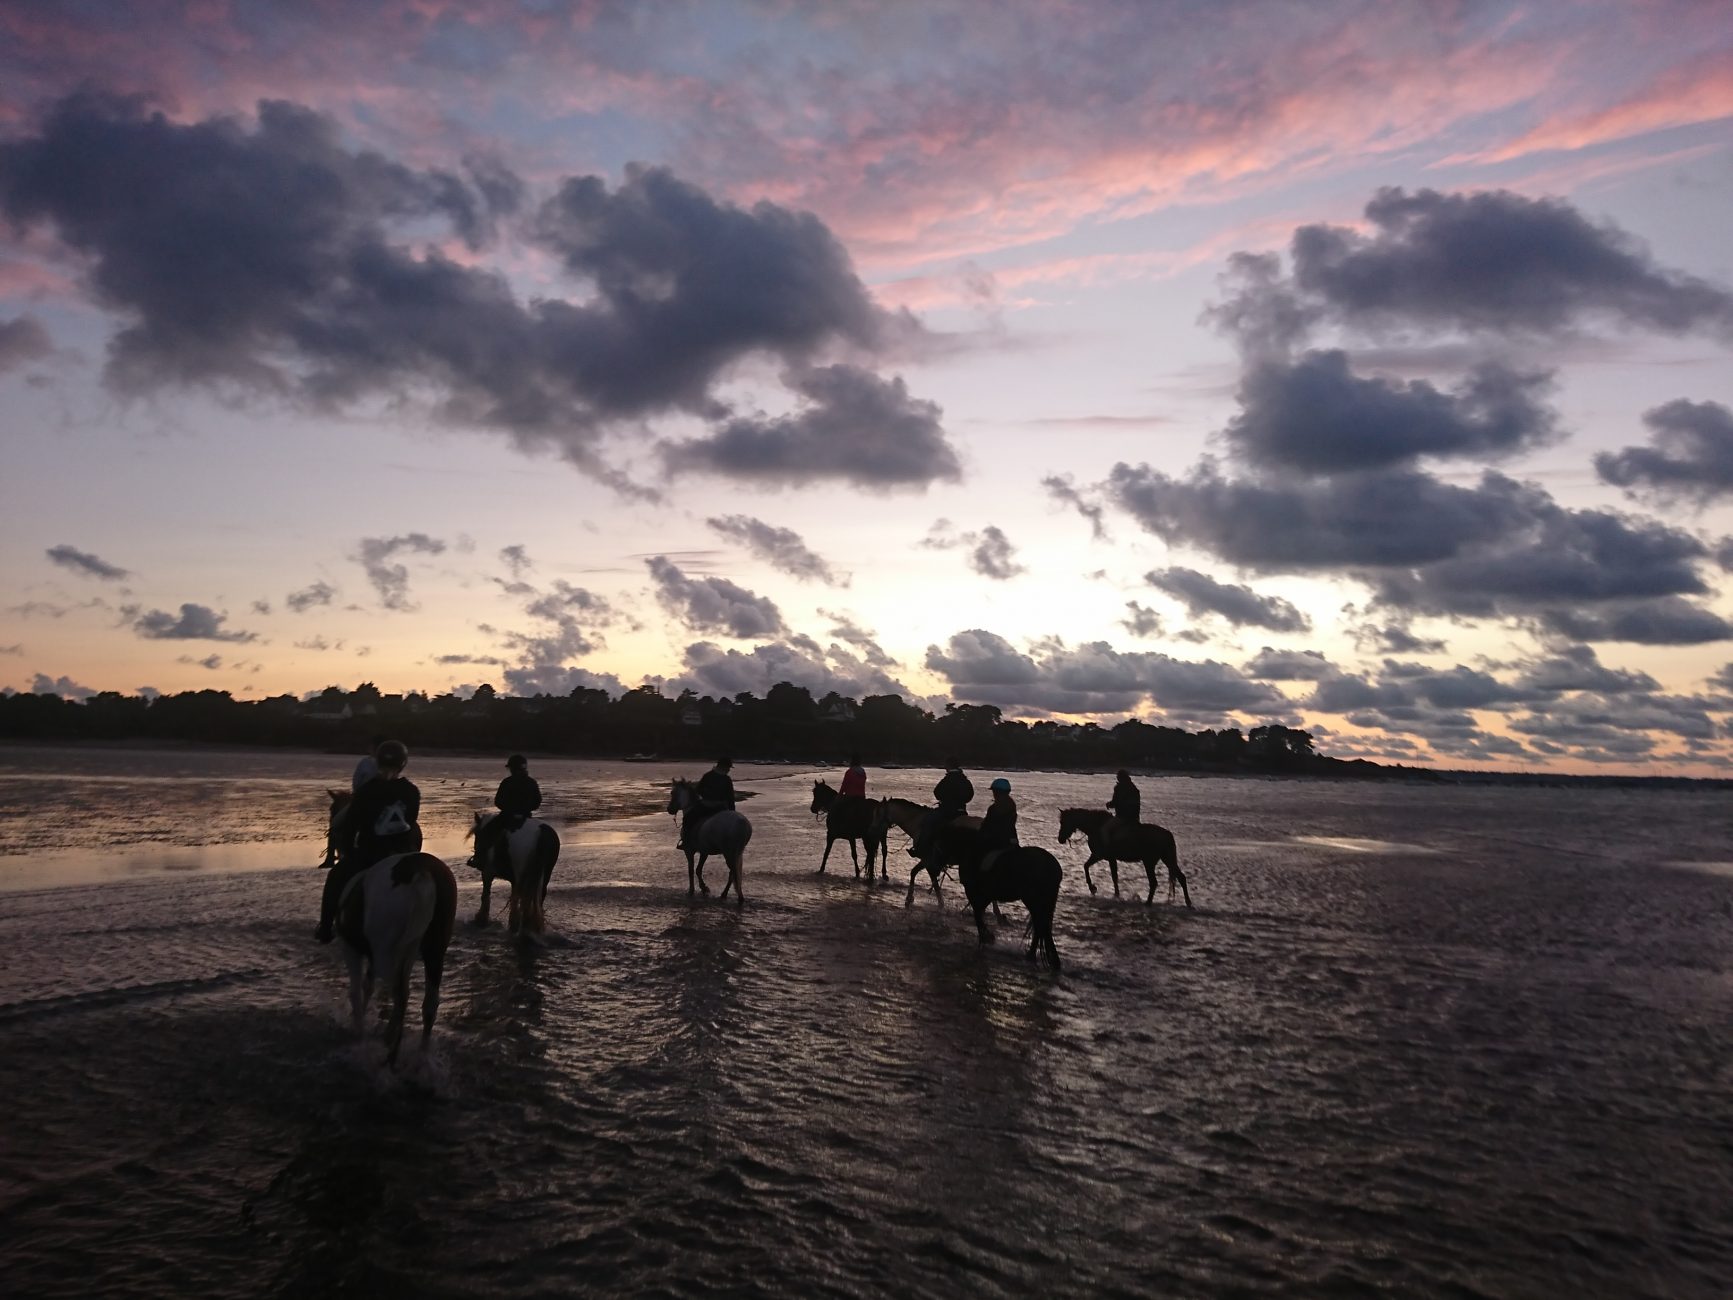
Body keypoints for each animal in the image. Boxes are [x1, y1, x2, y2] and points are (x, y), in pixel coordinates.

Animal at [336, 856, 460, 1067]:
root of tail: (421, 872)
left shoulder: (351, 949)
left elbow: (356, 992)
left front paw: (359, 1033)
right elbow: (368, 985)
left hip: (387, 954)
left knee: (399, 995)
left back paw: (391, 1053)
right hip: (433, 950)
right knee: (427, 1003)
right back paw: (420, 1053)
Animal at [1053, 811, 1192, 908]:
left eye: (1063, 822)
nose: (1060, 839)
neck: (1096, 826)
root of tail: (1166, 834)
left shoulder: (1101, 855)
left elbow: (1096, 870)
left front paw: (1094, 889)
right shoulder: (1105, 857)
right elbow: (1099, 871)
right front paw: (1112, 894)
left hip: (1149, 862)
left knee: (1154, 882)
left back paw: (1148, 902)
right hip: (1167, 859)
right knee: (1181, 877)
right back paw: (1188, 902)